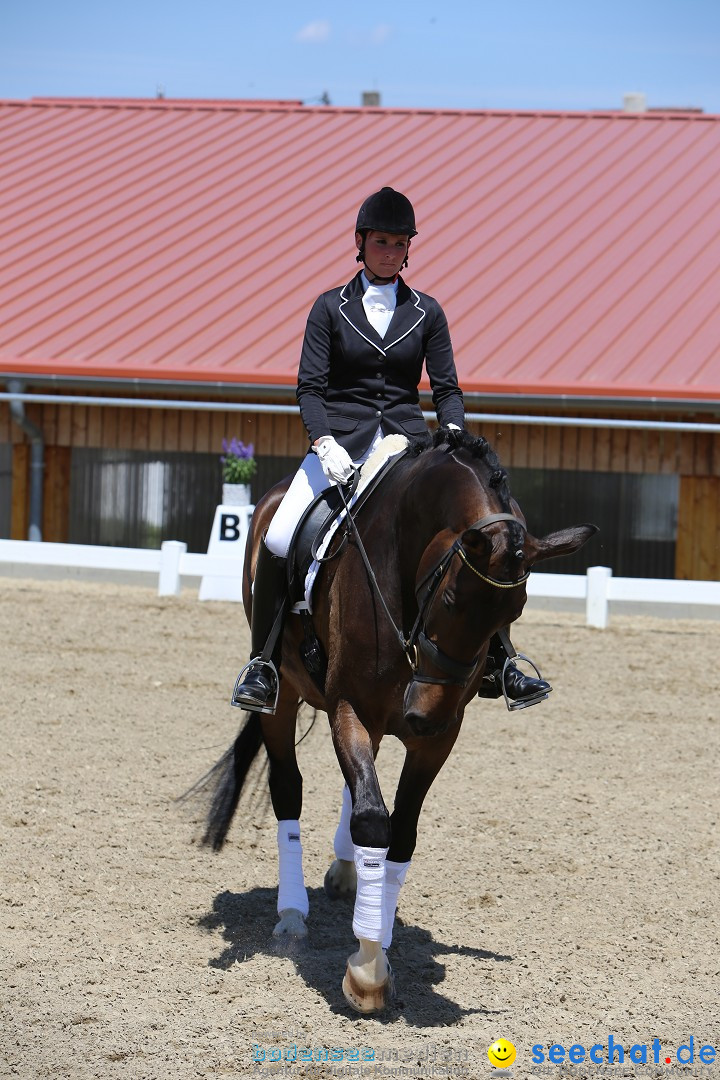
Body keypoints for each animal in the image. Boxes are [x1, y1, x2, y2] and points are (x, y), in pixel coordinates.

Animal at [198, 427, 595, 1010]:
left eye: (514, 613)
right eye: (449, 599)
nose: (422, 714)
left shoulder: (439, 736)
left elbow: (399, 831)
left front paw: (377, 933)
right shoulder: (352, 707)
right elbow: (372, 818)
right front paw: (366, 971)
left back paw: (345, 873)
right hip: (284, 694)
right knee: (288, 788)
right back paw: (292, 914)